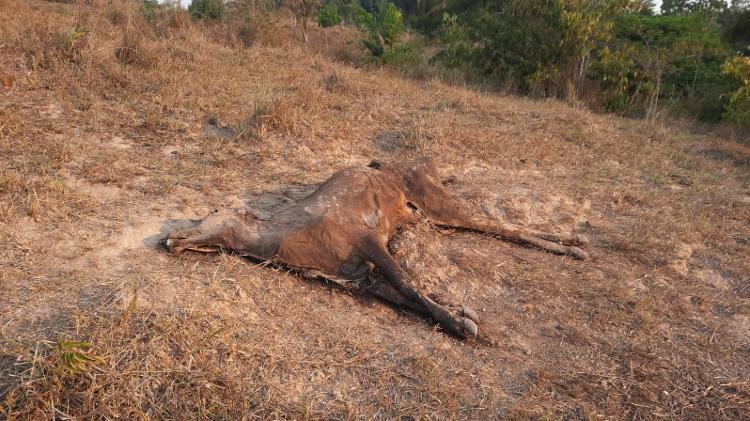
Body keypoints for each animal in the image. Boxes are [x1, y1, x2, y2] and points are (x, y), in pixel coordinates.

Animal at [166, 158, 592, 338]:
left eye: (210, 213)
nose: (170, 239)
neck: (281, 246)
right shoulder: (361, 278)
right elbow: (408, 295)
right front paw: (460, 311)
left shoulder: (365, 239)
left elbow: (410, 285)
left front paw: (463, 324)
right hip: (428, 212)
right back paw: (573, 242)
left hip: (436, 201)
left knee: (499, 224)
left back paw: (576, 245)